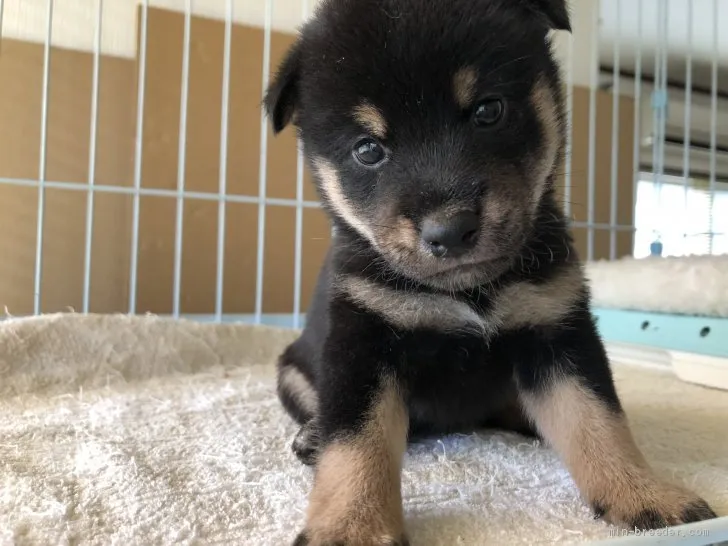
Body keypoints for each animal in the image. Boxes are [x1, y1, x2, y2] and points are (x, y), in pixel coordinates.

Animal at [264, 1, 716, 540]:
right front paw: (352, 526)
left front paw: (642, 493)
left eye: (488, 110)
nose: (450, 229)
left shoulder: (556, 329)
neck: (470, 292)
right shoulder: (363, 342)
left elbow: (597, 419)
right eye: (367, 149)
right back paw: (312, 435)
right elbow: (356, 443)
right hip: (291, 371)